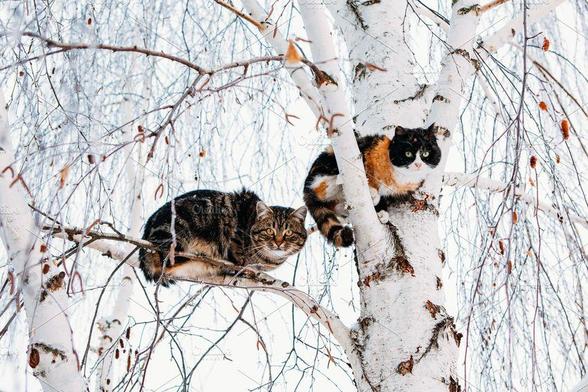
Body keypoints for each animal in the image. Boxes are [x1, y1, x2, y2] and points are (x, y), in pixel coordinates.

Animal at [304, 125, 440, 247]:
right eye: (408, 153)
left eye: (426, 153)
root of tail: (306, 191)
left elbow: (383, 200)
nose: (418, 165)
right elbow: (368, 176)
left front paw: (382, 214)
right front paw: (374, 194)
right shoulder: (368, 149)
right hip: (328, 164)